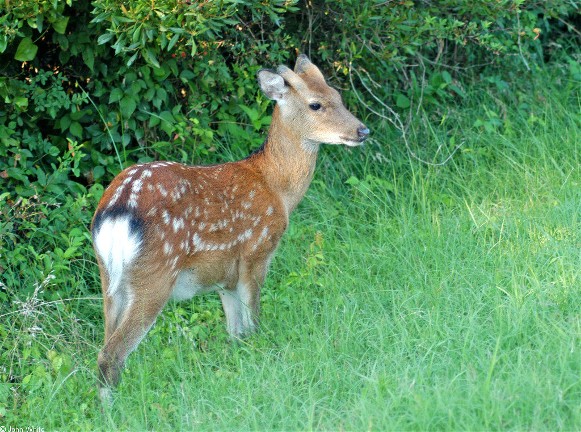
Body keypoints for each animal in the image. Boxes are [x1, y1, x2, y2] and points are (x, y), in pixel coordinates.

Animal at [93, 54, 370, 402]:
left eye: (338, 96)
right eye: (315, 104)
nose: (362, 130)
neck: (277, 189)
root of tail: (116, 211)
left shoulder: (224, 274)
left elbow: (235, 334)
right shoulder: (256, 251)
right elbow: (253, 322)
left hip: (108, 278)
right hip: (154, 274)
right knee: (112, 353)